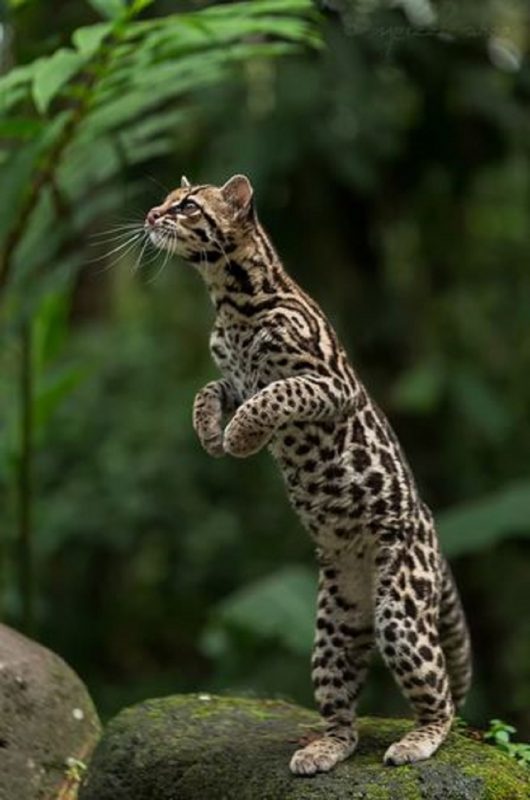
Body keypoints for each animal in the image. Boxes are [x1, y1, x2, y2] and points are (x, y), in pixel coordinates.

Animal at [142, 177, 468, 776]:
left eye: (188, 205)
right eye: (170, 200)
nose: (151, 215)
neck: (229, 299)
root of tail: (433, 535)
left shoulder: (329, 383)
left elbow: (276, 394)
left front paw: (240, 438)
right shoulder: (233, 378)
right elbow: (207, 390)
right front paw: (211, 434)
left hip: (400, 610)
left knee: (442, 697)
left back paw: (418, 739)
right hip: (334, 626)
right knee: (342, 712)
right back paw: (323, 748)